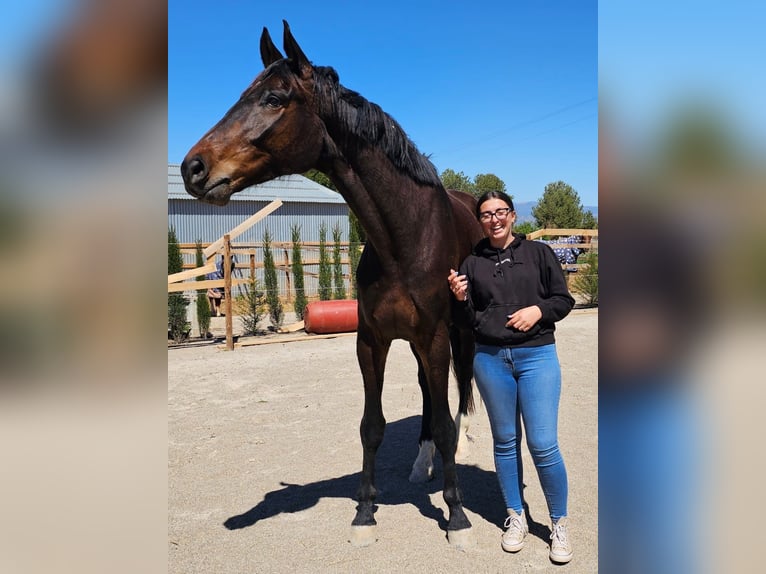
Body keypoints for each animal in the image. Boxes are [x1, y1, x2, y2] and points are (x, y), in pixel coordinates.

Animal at [181, 21, 484, 547]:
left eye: (274, 98)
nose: (192, 168)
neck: (403, 238)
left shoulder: (436, 337)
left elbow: (445, 420)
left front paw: (457, 516)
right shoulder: (372, 342)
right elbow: (371, 426)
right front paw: (364, 511)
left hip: (456, 336)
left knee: (459, 392)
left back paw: (461, 446)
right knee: (428, 395)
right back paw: (421, 463)